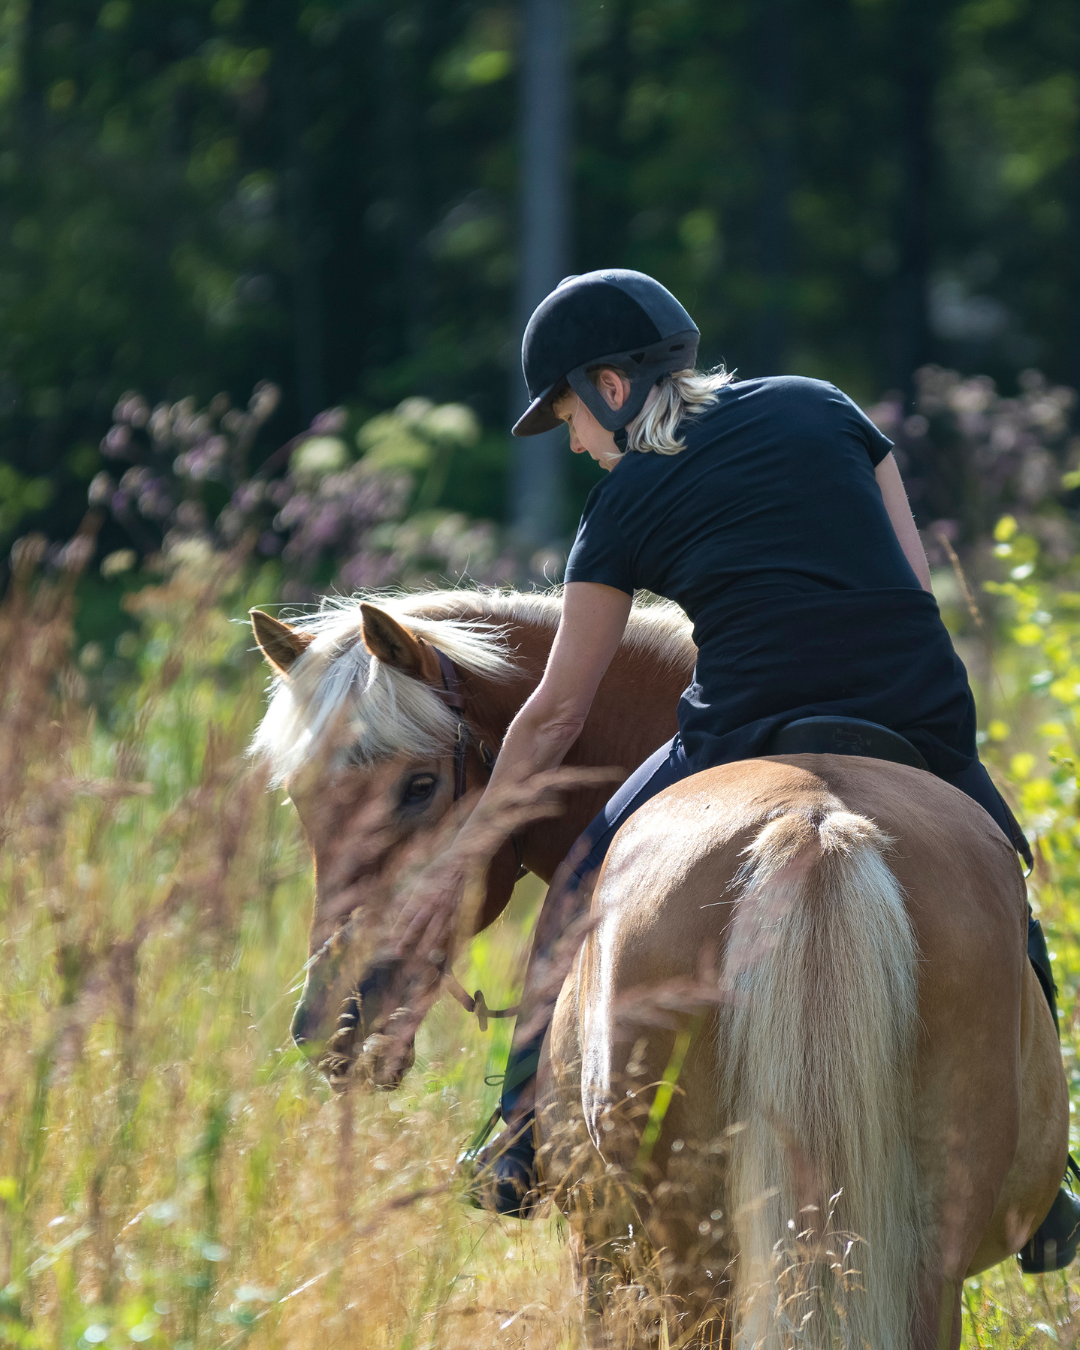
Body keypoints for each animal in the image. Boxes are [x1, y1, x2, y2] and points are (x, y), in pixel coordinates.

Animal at [249, 590, 1067, 1349]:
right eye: (302, 798)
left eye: (419, 786)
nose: (333, 1019)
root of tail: (813, 826)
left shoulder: (601, 1256)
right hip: (917, 1261)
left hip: (684, 1260)